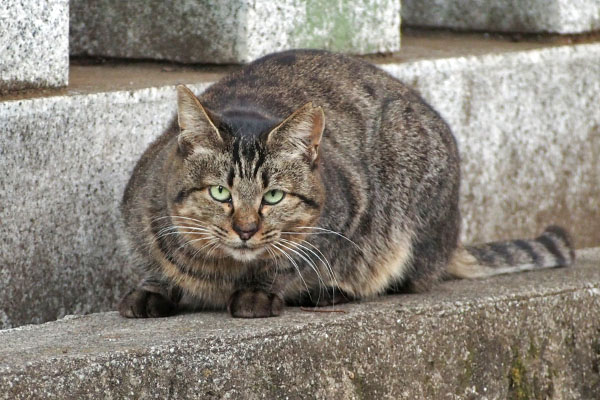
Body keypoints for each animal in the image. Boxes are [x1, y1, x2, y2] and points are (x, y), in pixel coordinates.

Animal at [116, 49, 572, 318]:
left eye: (274, 196)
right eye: (220, 192)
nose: (245, 229)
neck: (224, 269)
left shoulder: (350, 211)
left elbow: (293, 260)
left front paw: (261, 291)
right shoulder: (137, 214)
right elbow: (153, 262)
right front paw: (153, 288)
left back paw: (332, 290)